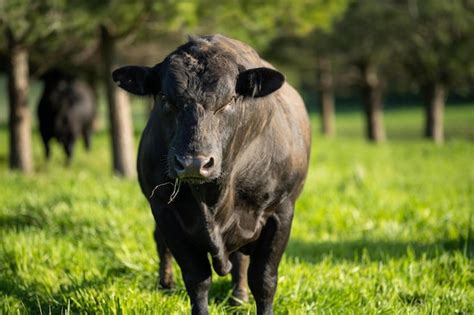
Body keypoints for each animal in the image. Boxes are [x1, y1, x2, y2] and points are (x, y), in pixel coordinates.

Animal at [112, 35, 312, 315]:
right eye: (165, 98)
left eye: (229, 100)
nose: (193, 163)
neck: (213, 199)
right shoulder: (165, 211)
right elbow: (197, 278)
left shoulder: (281, 212)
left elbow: (264, 280)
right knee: (161, 243)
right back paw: (166, 284)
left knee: (240, 260)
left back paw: (238, 298)